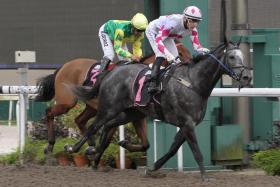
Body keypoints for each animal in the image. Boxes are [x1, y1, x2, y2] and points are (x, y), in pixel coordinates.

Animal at [34, 41, 191, 155]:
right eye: (180, 53)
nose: (190, 66)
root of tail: (63, 66)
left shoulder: (135, 115)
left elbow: (145, 144)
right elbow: (106, 139)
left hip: (91, 107)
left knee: (79, 120)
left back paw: (90, 144)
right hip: (67, 102)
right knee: (49, 112)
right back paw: (50, 145)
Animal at [65, 40, 252, 180]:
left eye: (243, 56)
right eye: (232, 56)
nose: (246, 77)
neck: (194, 83)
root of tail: (111, 72)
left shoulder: (186, 125)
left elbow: (172, 150)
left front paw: (152, 168)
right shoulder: (188, 123)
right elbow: (197, 151)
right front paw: (205, 176)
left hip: (131, 113)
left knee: (108, 126)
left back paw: (102, 152)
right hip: (108, 109)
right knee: (93, 126)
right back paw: (74, 149)